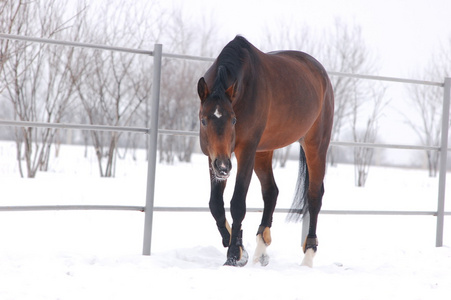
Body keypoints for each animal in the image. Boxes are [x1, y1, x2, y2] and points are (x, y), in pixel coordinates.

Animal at [196, 35, 334, 268]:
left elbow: (237, 204)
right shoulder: (212, 156)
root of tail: (321, 73)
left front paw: (233, 256)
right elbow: (215, 204)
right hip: (264, 151)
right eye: (204, 120)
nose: (223, 167)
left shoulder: (246, 151)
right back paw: (261, 249)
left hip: (316, 146)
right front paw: (238, 248)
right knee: (271, 191)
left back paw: (308, 256)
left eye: (233, 120)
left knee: (314, 196)